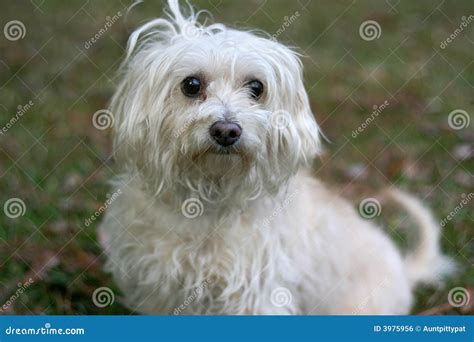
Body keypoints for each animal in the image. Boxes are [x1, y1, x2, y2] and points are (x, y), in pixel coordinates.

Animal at [99, 0, 452, 316]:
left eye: (256, 87)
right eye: (192, 84)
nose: (226, 130)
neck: (209, 196)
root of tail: (403, 272)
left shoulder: (257, 296)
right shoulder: (160, 291)